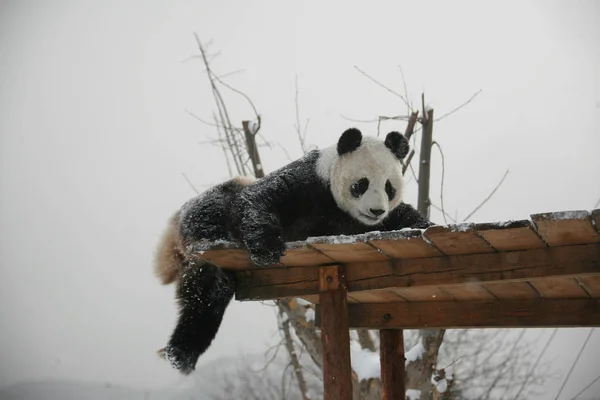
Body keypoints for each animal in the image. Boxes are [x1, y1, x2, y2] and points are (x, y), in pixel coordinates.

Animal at [155, 128, 432, 376]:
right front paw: (267, 250)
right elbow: (257, 198)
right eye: (361, 184)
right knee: (216, 215)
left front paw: (424, 225)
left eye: (389, 188)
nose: (376, 210)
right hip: (208, 212)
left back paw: (179, 355)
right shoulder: (307, 183)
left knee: (204, 299)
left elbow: (401, 217)